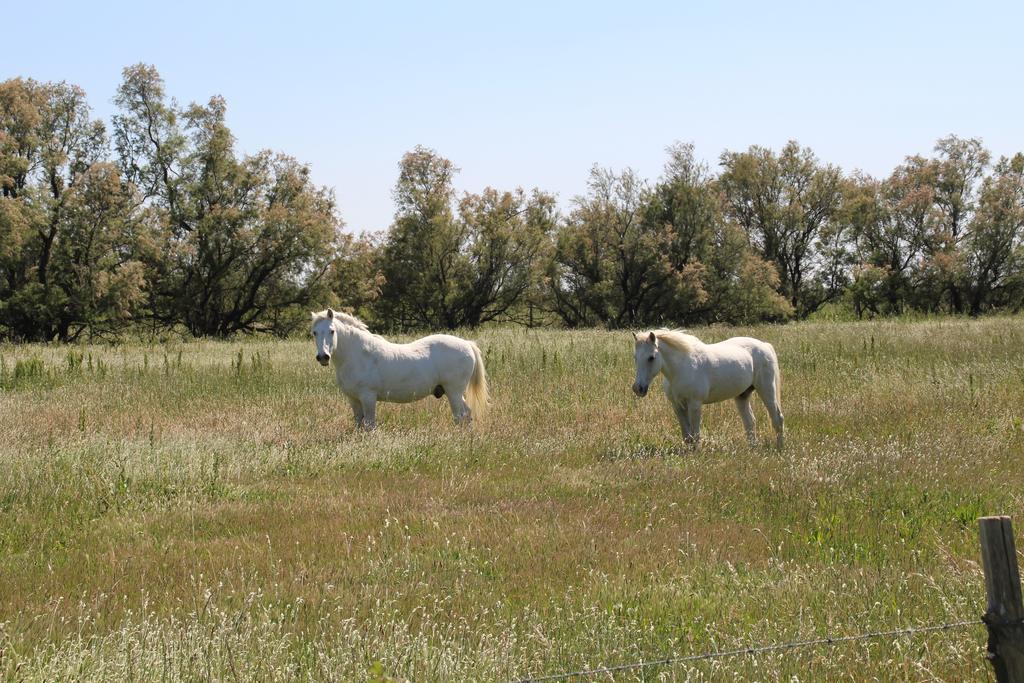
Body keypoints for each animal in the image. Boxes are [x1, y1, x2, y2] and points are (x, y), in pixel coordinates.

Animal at [309, 309, 489, 428]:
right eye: (314, 332)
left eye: (332, 331)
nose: (323, 357)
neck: (358, 355)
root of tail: (467, 344)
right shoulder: (353, 399)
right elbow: (359, 424)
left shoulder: (368, 397)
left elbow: (369, 425)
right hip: (453, 392)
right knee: (467, 414)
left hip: (454, 392)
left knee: (460, 416)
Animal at [630, 331, 782, 448]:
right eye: (635, 357)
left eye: (651, 357)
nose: (638, 388)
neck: (680, 369)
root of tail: (764, 345)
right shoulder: (677, 406)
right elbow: (687, 435)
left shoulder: (695, 404)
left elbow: (695, 433)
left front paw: (696, 452)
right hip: (742, 396)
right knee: (750, 422)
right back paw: (752, 448)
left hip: (767, 389)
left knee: (777, 418)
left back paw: (780, 447)